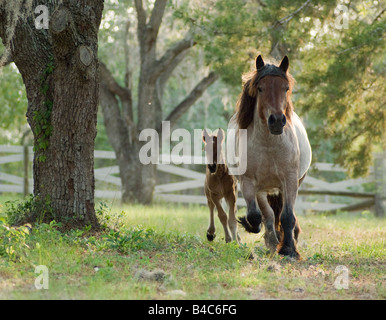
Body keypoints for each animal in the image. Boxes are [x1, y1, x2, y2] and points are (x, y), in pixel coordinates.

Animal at [228, 55, 312, 258]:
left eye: (286, 88)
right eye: (260, 88)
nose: (277, 121)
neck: (269, 145)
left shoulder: (289, 179)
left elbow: (287, 216)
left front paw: (289, 250)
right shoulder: (249, 182)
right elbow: (256, 215)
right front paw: (255, 229)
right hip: (262, 190)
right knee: (268, 215)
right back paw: (272, 241)